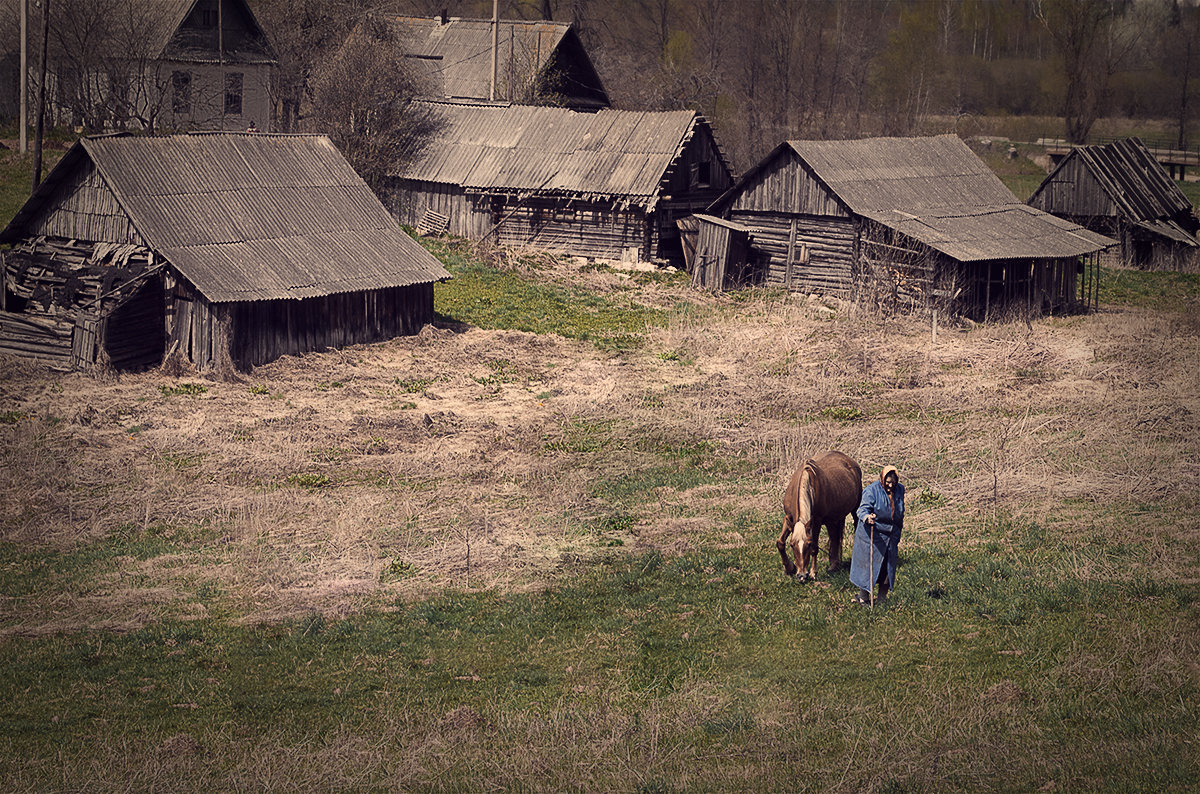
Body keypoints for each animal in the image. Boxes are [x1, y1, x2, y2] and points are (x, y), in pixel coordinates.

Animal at [777, 450, 864, 582]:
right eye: (792, 545)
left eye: (807, 544)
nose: (802, 575)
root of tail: (850, 461)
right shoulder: (789, 517)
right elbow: (780, 543)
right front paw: (789, 568)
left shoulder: (816, 522)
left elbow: (815, 547)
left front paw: (813, 572)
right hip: (833, 519)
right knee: (834, 537)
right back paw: (834, 565)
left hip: (854, 509)